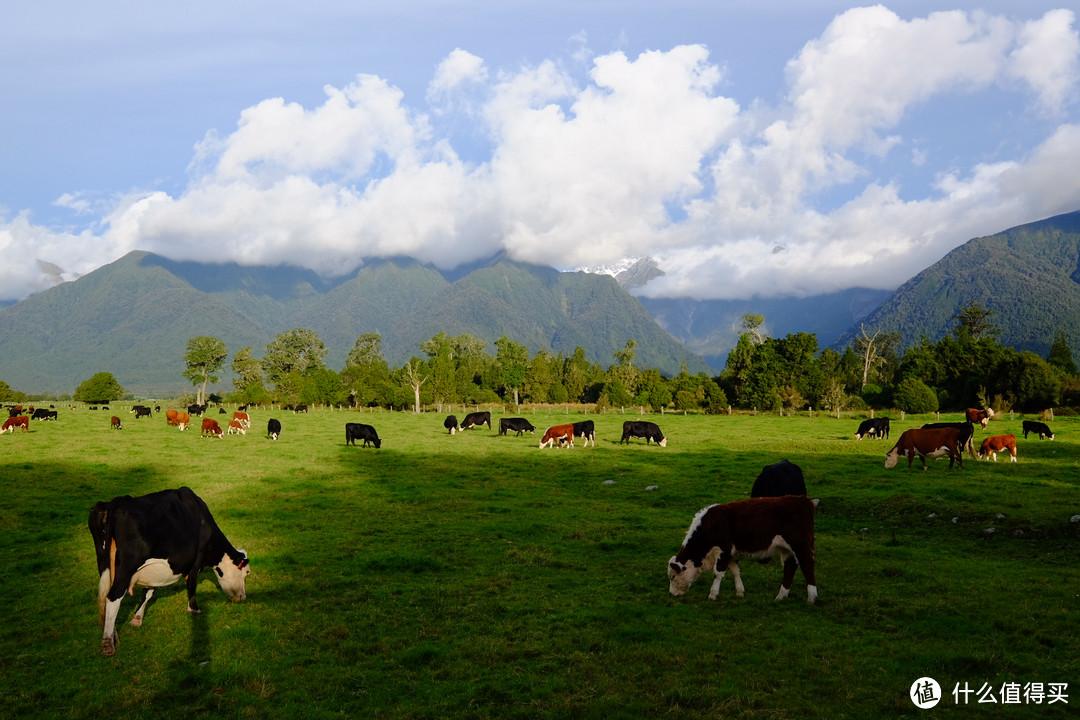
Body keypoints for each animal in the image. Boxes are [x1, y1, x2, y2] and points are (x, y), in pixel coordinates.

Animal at [87, 487, 249, 656]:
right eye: (246, 573)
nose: (243, 597)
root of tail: (115, 502)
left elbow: (148, 592)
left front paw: (137, 618)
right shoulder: (197, 556)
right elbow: (191, 585)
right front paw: (194, 609)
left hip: (104, 563)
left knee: (104, 595)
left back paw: (114, 635)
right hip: (126, 567)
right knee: (113, 597)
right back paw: (108, 644)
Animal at [665, 496, 816, 604]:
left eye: (673, 576)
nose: (671, 594)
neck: (709, 526)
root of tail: (803, 500)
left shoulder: (723, 551)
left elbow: (718, 573)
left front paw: (712, 595)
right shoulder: (731, 554)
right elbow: (735, 571)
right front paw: (740, 592)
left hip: (800, 545)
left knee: (807, 566)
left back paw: (812, 598)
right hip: (786, 550)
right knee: (790, 567)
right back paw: (781, 596)